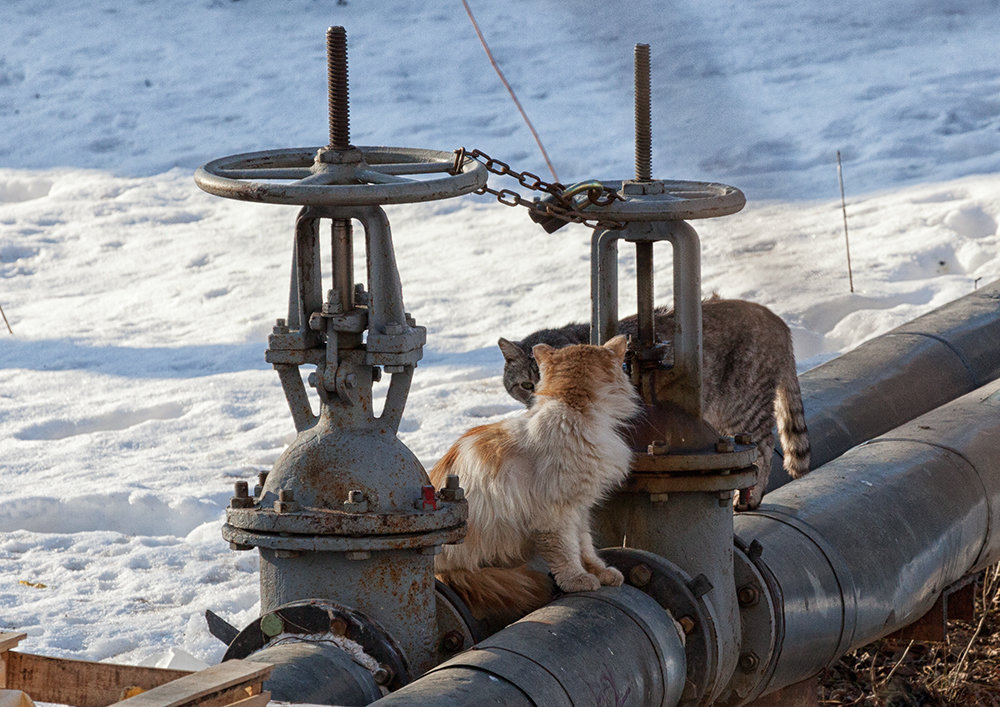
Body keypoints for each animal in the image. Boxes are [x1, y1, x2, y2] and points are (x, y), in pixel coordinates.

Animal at [432, 338, 640, 624]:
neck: (572, 410)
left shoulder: (580, 509)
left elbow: (586, 546)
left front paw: (601, 572)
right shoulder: (555, 514)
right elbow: (566, 552)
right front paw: (578, 579)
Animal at [496, 298, 808, 508]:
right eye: (526, 385)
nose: (538, 400)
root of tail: (775, 318)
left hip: (743, 404)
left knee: (763, 446)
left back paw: (750, 497)